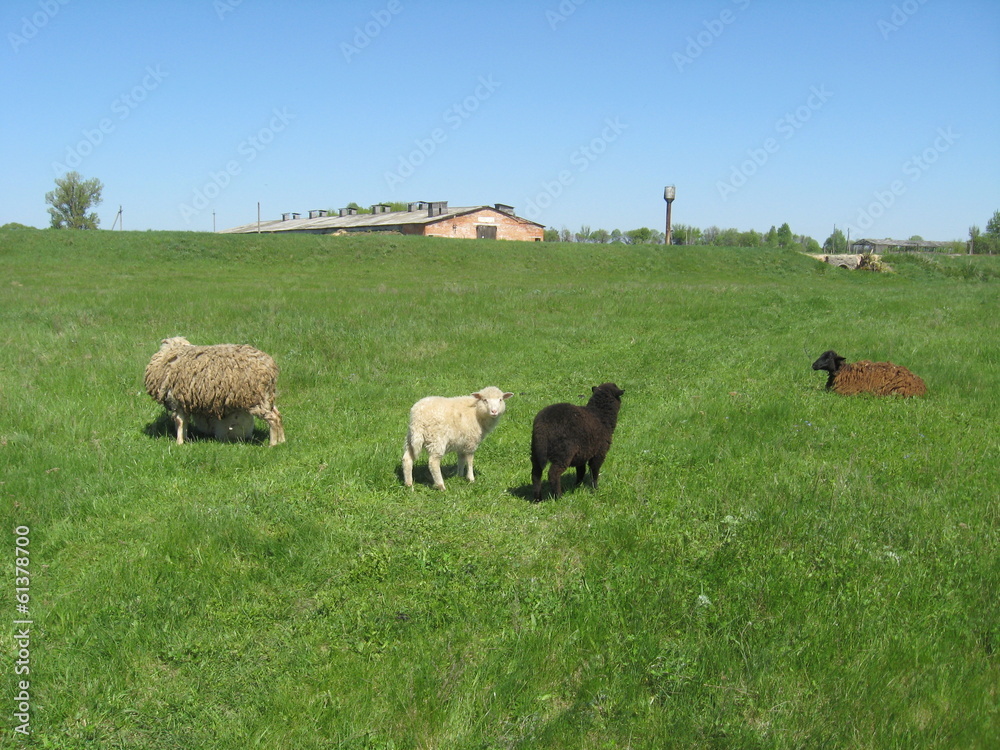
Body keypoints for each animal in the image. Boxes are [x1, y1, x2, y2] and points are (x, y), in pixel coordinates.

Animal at [145, 336, 285, 446]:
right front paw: (184, 439)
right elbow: (184, 422)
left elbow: (180, 422)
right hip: (265, 396)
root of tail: (269, 367)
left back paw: (272, 444)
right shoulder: (184, 402)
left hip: (254, 398)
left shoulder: (177, 401)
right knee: (278, 415)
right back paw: (282, 441)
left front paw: (179, 442)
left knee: (272, 418)